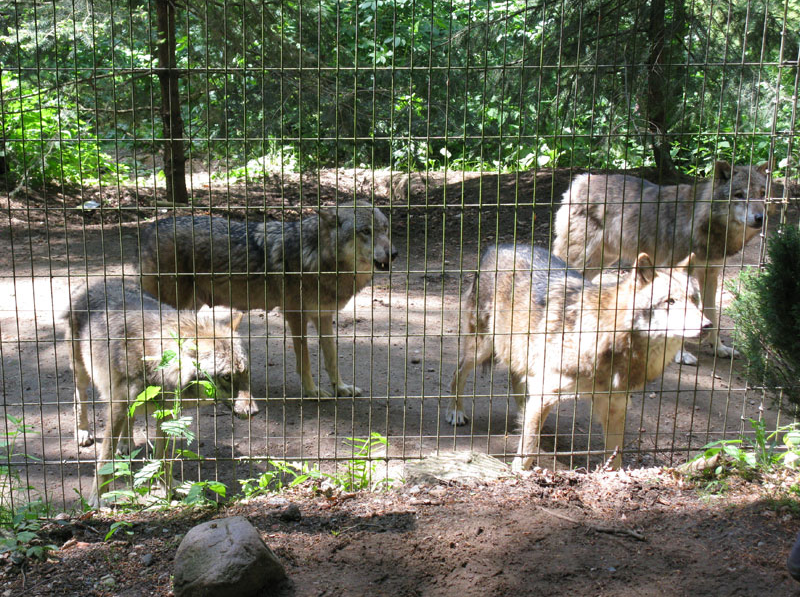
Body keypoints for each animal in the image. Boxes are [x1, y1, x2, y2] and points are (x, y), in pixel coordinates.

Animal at [63, 280, 252, 508]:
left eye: (245, 372)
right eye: (226, 377)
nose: (254, 411)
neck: (154, 361)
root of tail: (96, 281)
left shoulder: (167, 413)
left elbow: (163, 456)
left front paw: (168, 488)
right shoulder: (118, 404)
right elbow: (105, 458)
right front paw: (97, 498)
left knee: (130, 419)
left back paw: (126, 444)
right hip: (82, 372)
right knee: (79, 398)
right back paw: (83, 432)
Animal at [142, 201, 398, 400]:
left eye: (385, 229)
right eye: (365, 231)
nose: (394, 253)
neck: (316, 256)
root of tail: (150, 227)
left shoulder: (324, 316)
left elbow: (331, 358)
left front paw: (341, 388)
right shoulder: (295, 316)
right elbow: (305, 359)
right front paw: (312, 392)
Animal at [450, 243, 712, 470]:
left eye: (695, 299)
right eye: (670, 301)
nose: (707, 325)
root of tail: (499, 247)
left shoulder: (615, 405)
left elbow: (615, 455)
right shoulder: (546, 392)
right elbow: (527, 449)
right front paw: (519, 472)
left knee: (518, 385)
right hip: (482, 347)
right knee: (458, 373)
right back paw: (456, 412)